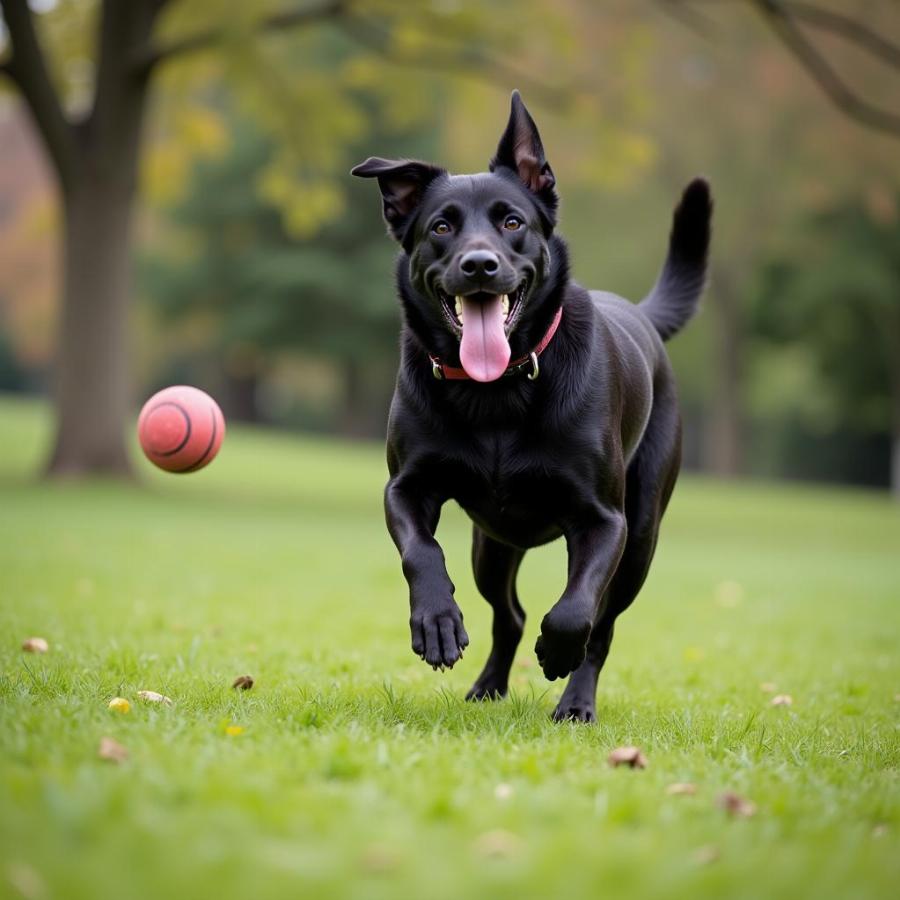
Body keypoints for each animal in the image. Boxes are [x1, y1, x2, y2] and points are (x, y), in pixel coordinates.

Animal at [352, 93, 712, 724]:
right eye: (441, 226)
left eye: (512, 222)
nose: (479, 265)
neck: (495, 390)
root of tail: (641, 315)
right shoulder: (406, 488)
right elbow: (421, 552)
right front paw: (437, 622)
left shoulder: (604, 521)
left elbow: (576, 611)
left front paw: (558, 652)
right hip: (491, 547)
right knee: (510, 615)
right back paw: (488, 686)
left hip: (641, 539)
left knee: (602, 627)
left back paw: (576, 702)